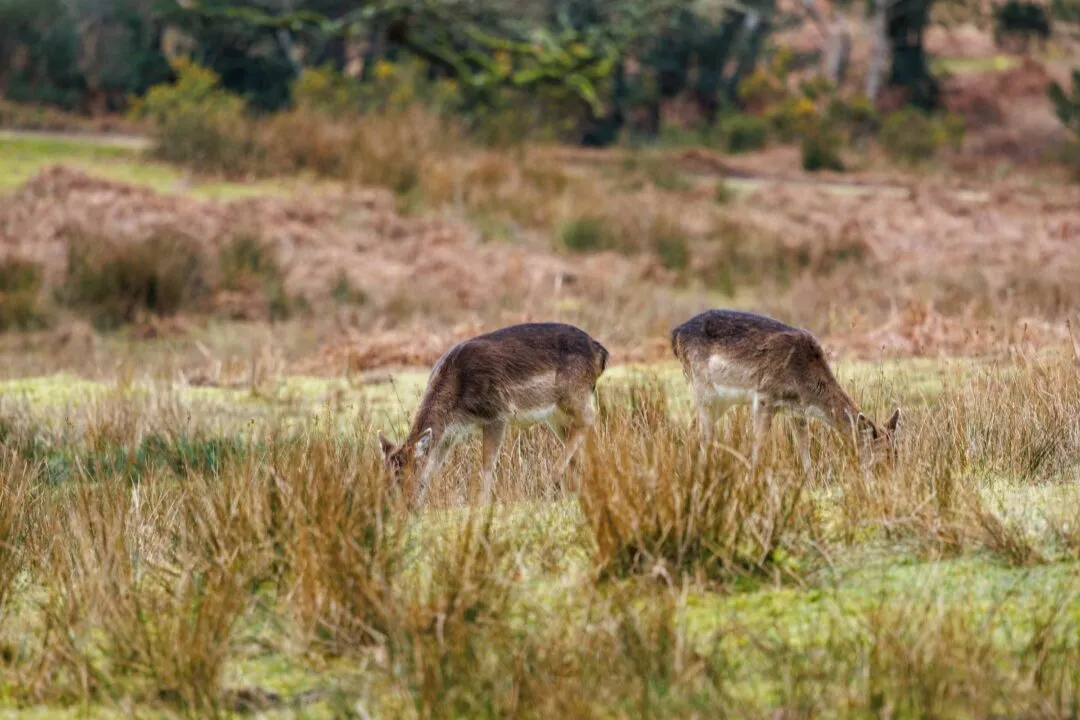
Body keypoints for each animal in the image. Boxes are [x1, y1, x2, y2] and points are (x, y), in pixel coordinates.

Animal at [377, 322, 609, 507]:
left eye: (405, 474)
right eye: (385, 475)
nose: (396, 504)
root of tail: (602, 352)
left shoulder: (496, 413)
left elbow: (488, 463)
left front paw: (483, 502)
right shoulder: (451, 434)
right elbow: (434, 465)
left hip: (574, 391)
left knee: (590, 418)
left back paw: (549, 481)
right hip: (555, 413)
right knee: (577, 433)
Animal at [670, 309, 900, 471]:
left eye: (896, 454)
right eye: (879, 458)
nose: (888, 481)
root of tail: (675, 333)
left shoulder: (797, 412)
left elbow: (805, 449)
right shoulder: (764, 396)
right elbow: (758, 444)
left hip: (720, 400)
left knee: (692, 427)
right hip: (700, 385)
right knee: (704, 434)